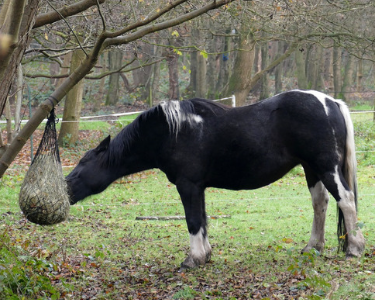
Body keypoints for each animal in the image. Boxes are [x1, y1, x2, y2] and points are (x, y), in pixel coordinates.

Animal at [66, 89, 366, 270]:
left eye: (80, 168)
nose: (65, 190)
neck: (174, 131)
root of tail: (331, 102)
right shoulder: (198, 187)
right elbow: (202, 219)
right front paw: (205, 255)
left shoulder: (188, 185)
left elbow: (193, 220)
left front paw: (193, 259)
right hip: (311, 169)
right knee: (320, 203)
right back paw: (313, 247)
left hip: (325, 168)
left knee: (346, 200)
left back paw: (354, 248)